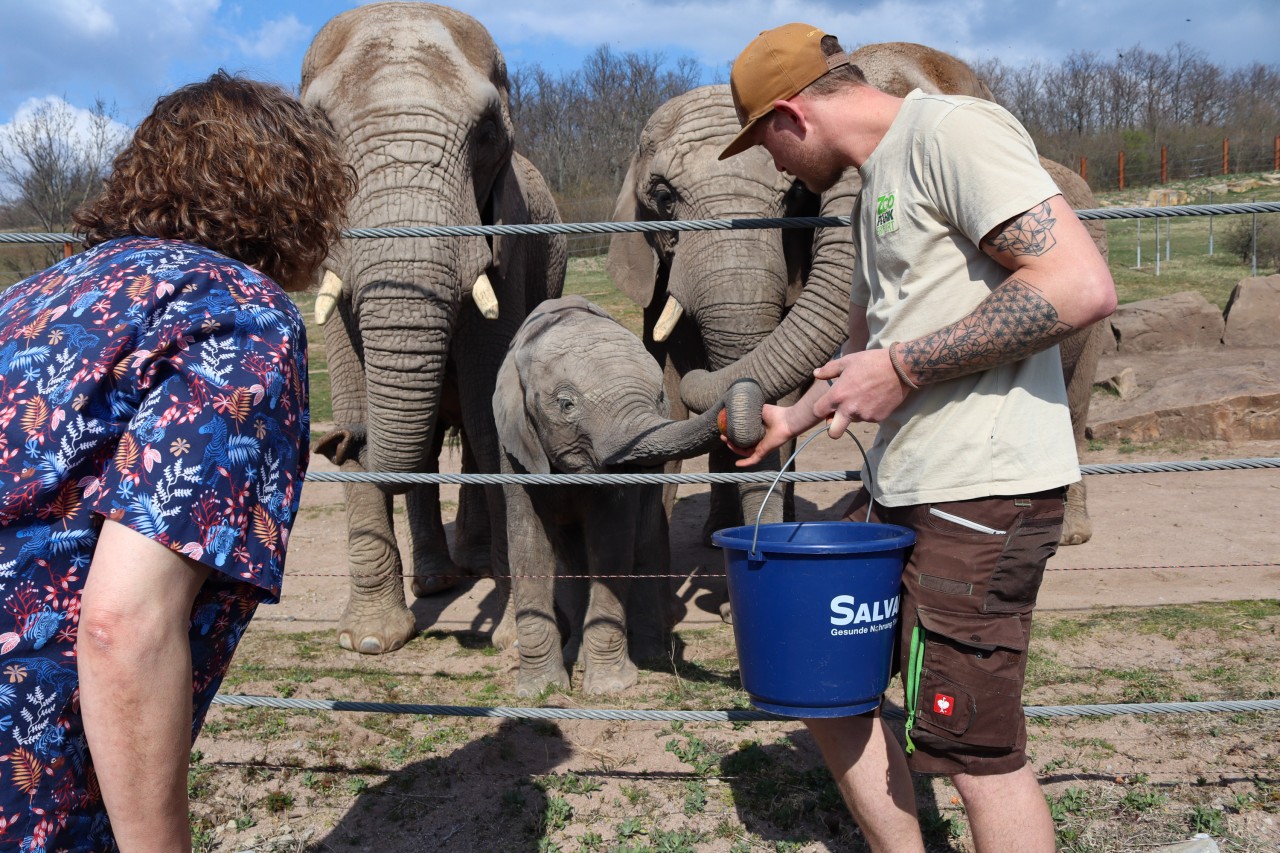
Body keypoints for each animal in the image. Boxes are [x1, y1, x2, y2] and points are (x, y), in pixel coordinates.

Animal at [299, 3, 565, 650]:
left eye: (487, 133)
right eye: (318, 128)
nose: (339, 441)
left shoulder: (507, 240)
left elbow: (489, 415)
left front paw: (514, 641)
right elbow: (352, 376)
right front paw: (369, 643)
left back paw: (475, 567)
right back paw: (440, 582)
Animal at [494, 295, 757, 696]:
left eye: (660, 397)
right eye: (566, 404)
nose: (739, 392)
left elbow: (612, 542)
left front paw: (609, 688)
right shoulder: (515, 448)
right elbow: (528, 543)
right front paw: (539, 691)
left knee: (644, 541)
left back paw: (651, 655)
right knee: (574, 558)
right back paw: (576, 654)